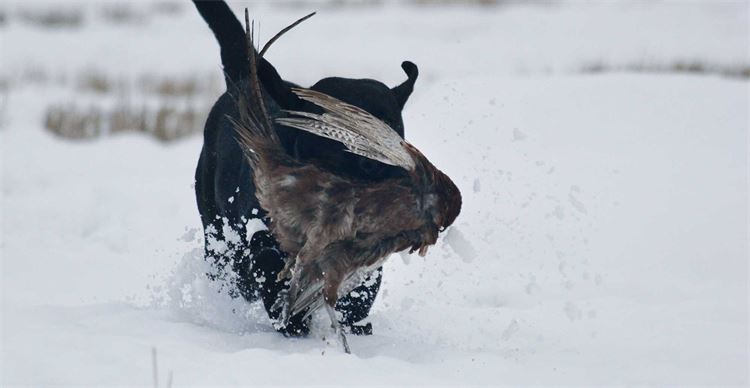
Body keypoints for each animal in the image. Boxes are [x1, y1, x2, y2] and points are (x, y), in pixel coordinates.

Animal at [192, 0, 418, 336]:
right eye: (339, 127)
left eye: (392, 131)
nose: (387, 168)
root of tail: (242, 82)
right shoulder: (264, 238)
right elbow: (273, 274)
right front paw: (293, 323)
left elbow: (362, 287)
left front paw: (355, 323)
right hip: (216, 229)